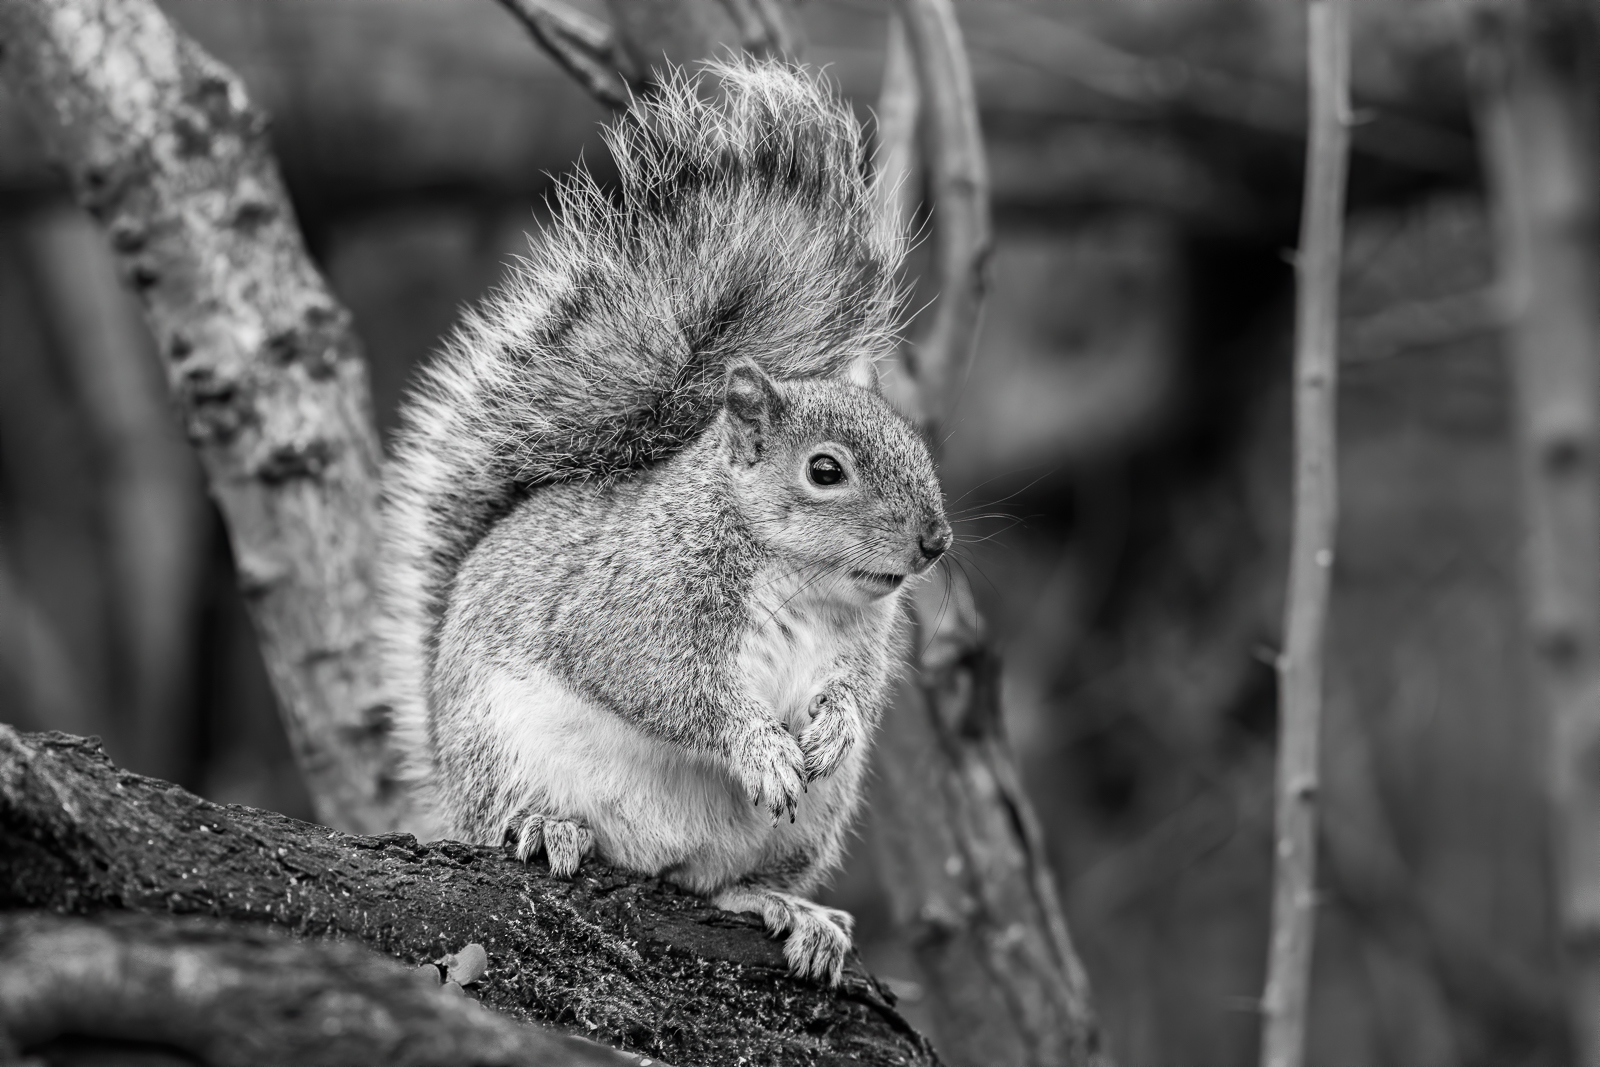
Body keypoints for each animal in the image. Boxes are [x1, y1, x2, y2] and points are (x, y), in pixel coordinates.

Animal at [380, 60, 951, 986]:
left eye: (914, 441)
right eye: (825, 470)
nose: (935, 542)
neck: (800, 579)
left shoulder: (863, 640)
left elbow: (857, 692)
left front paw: (834, 726)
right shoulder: (636, 599)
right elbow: (661, 680)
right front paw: (759, 745)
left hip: (804, 824)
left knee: (716, 886)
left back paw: (788, 908)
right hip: (500, 749)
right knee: (510, 818)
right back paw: (543, 825)